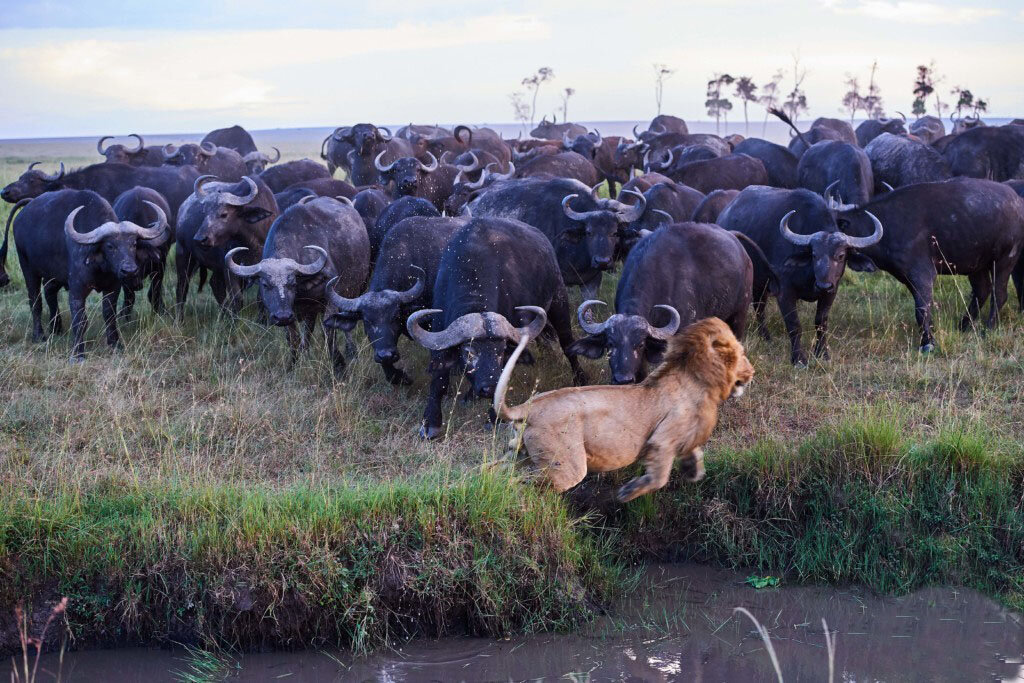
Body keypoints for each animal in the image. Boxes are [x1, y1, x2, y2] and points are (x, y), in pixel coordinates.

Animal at [491, 315, 757, 501]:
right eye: (742, 354)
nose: (752, 372)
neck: (699, 378)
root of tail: (528, 406)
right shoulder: (662, 439)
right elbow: (660, 477)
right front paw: (627, 492)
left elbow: (694, 452)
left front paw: (694, 472)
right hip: (567, 468)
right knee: (520, 481)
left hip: (516, 453)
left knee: (493, 470)